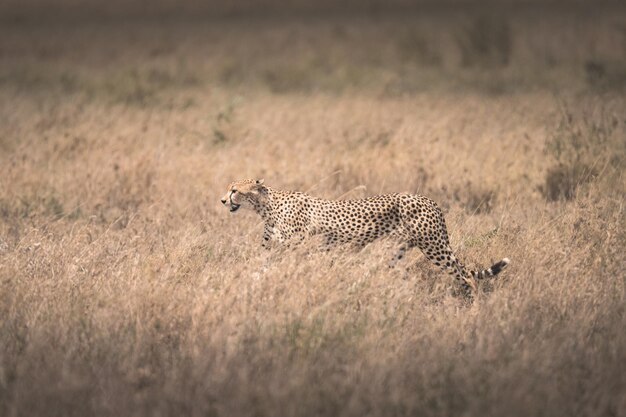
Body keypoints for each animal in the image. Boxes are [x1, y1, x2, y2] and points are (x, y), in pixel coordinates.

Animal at [219, 178, 508, 292]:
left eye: (235, 190)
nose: (222, 200)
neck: (265, 207)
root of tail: (429, 199)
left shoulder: (298, 252)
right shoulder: (273, 253)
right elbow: (258, 271)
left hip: (433, 246)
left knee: (467, 276)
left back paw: (474, 310)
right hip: (395, 253)